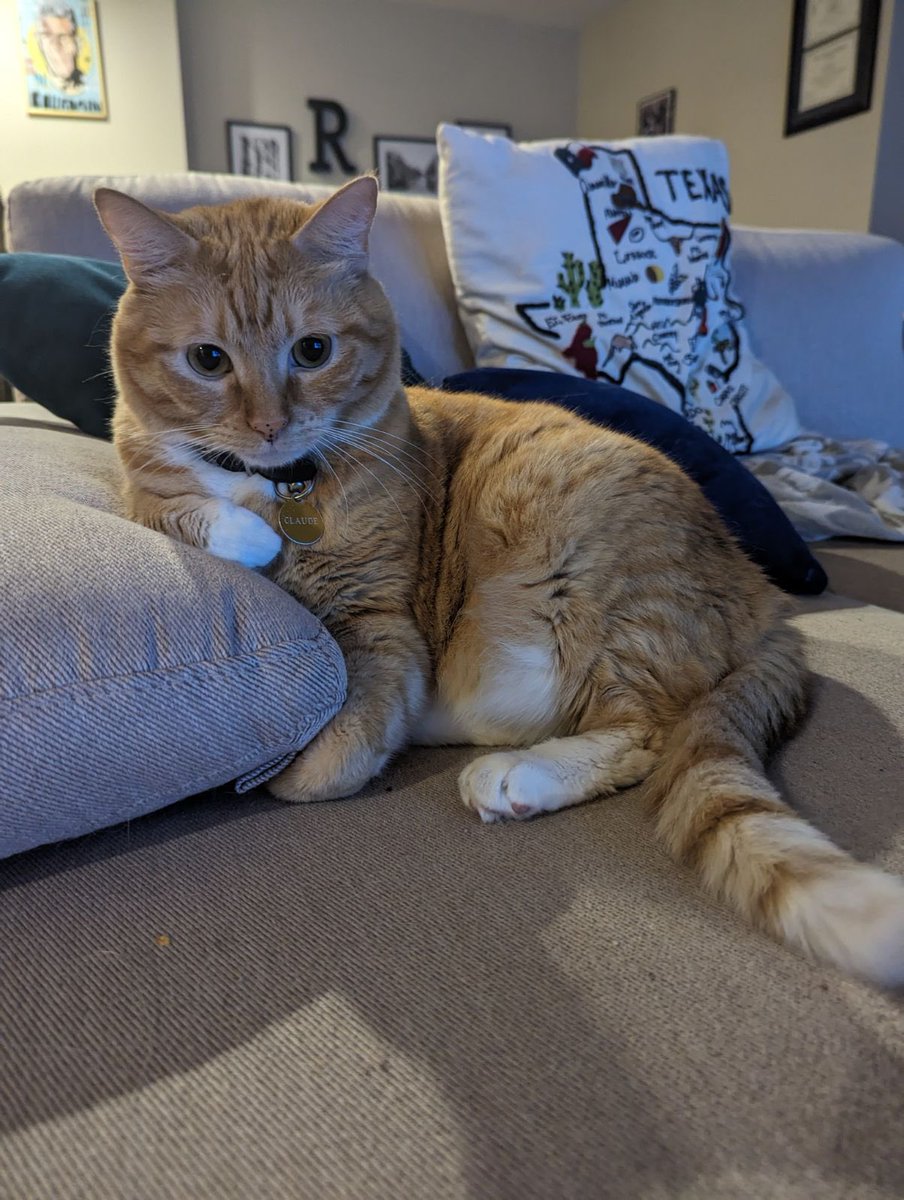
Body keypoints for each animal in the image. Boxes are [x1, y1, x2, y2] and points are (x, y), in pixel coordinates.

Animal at [95, 175, 897, 984]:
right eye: (208, 360)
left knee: (647, 735)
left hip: (600, 602)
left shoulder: (382, 624)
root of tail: (765, 593)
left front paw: (294, 768)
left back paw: (518, 777)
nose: (269, 427)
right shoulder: (138, 477)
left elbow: (335, 754)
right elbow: (171, 506)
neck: (276, 487)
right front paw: (238, 533)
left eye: (312, 350)